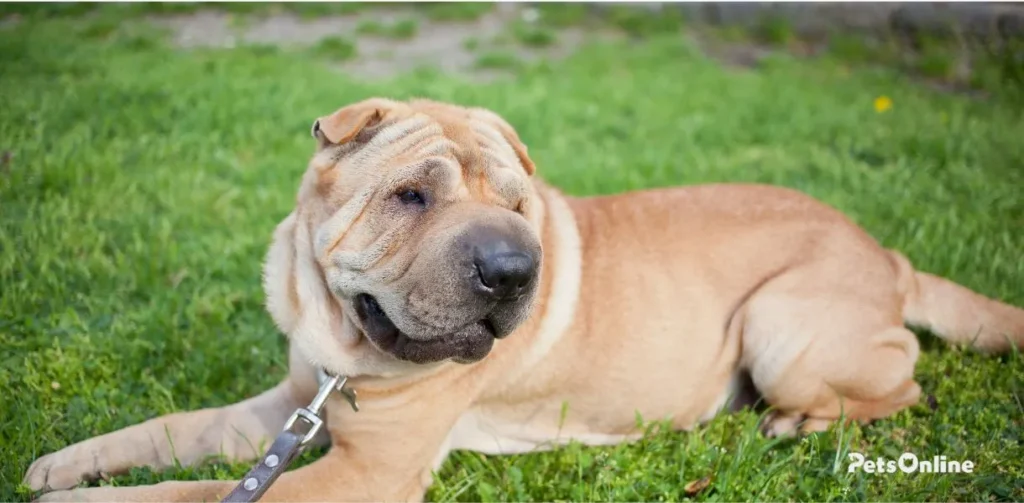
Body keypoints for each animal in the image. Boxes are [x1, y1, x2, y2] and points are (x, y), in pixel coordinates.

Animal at [24, 98, 1024, 503]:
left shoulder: (362, 474)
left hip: (781, 327)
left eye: (514, 204)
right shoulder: (284, 409)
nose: (512, 270)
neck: (343, 346)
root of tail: (886, 251)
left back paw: (791, 422)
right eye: (411, 196)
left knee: (903, 385)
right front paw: (60, 465)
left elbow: (187, 492)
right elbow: (164, 433)